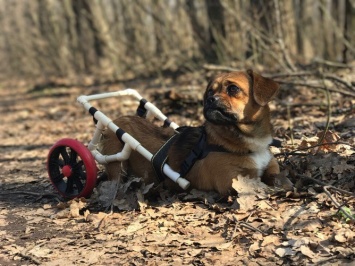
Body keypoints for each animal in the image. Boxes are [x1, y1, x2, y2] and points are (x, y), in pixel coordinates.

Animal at [101, 69, 282, 195]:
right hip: (118, 164)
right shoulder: (231, 180)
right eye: (210, 91)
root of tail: (117, 119)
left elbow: (274, 174)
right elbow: (258, 184)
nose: (210, 99)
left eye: (233, 89)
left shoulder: (271, 165)